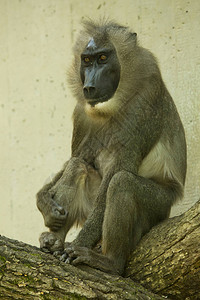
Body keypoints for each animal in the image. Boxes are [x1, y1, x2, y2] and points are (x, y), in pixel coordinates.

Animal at [35, 19, 186, 276]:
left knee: (121, 182)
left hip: (159, 206)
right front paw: (43, 202)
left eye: (103, 58)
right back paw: (54, 240)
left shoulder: (144, 102)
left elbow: (118, 172)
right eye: (87, 60)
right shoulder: (81, 113)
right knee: (78, 166)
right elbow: (77, 157)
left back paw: (109, 261)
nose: (89, 86)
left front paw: (78, 245)